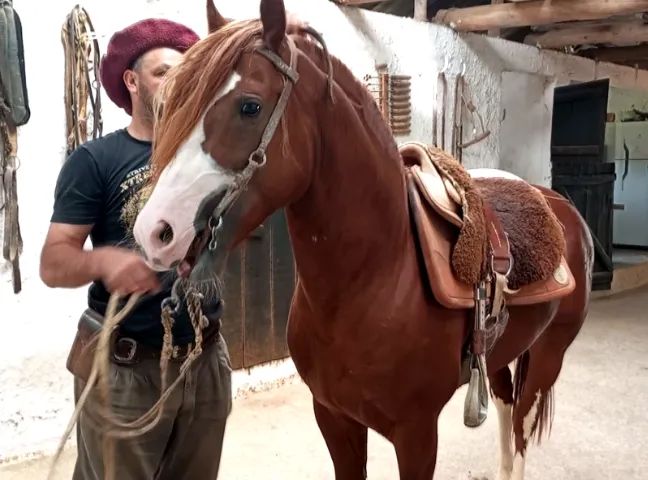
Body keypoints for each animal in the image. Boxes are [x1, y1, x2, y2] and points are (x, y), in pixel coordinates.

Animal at [132, 1, 594, 478]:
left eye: (249, 106)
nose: (154, 231)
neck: (376, 279)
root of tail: (557, 204)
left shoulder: (417, 434)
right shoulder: (334, 417)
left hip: (547, 357)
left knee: (520, 429)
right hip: (502, 356)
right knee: (504, 411)